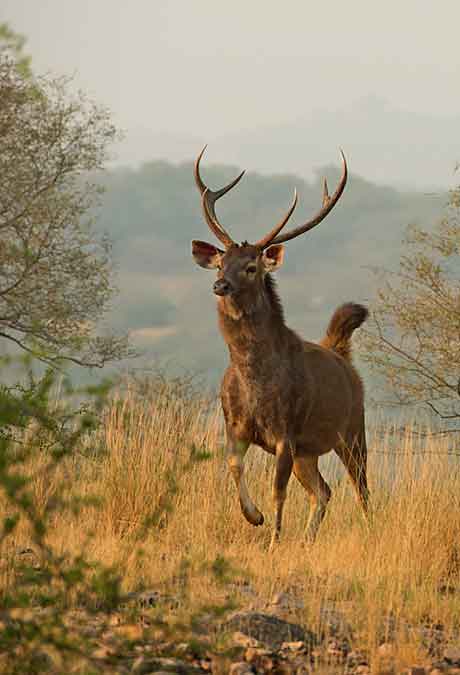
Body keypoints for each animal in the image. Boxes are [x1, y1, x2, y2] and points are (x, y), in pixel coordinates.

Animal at [190, 148, 370, 548]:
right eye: (221, 262)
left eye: (252, 267)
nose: (220, 285)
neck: (254, 382)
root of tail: (342, 356)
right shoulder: (236, 426)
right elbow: (233, 466)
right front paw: (253, 517)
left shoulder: (286, 431)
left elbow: (278, 491)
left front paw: (272, 539)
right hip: (310, 451)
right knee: (324, 490)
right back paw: (307, 539)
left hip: (352, 430)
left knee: (361, 489)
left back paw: (370, 529)